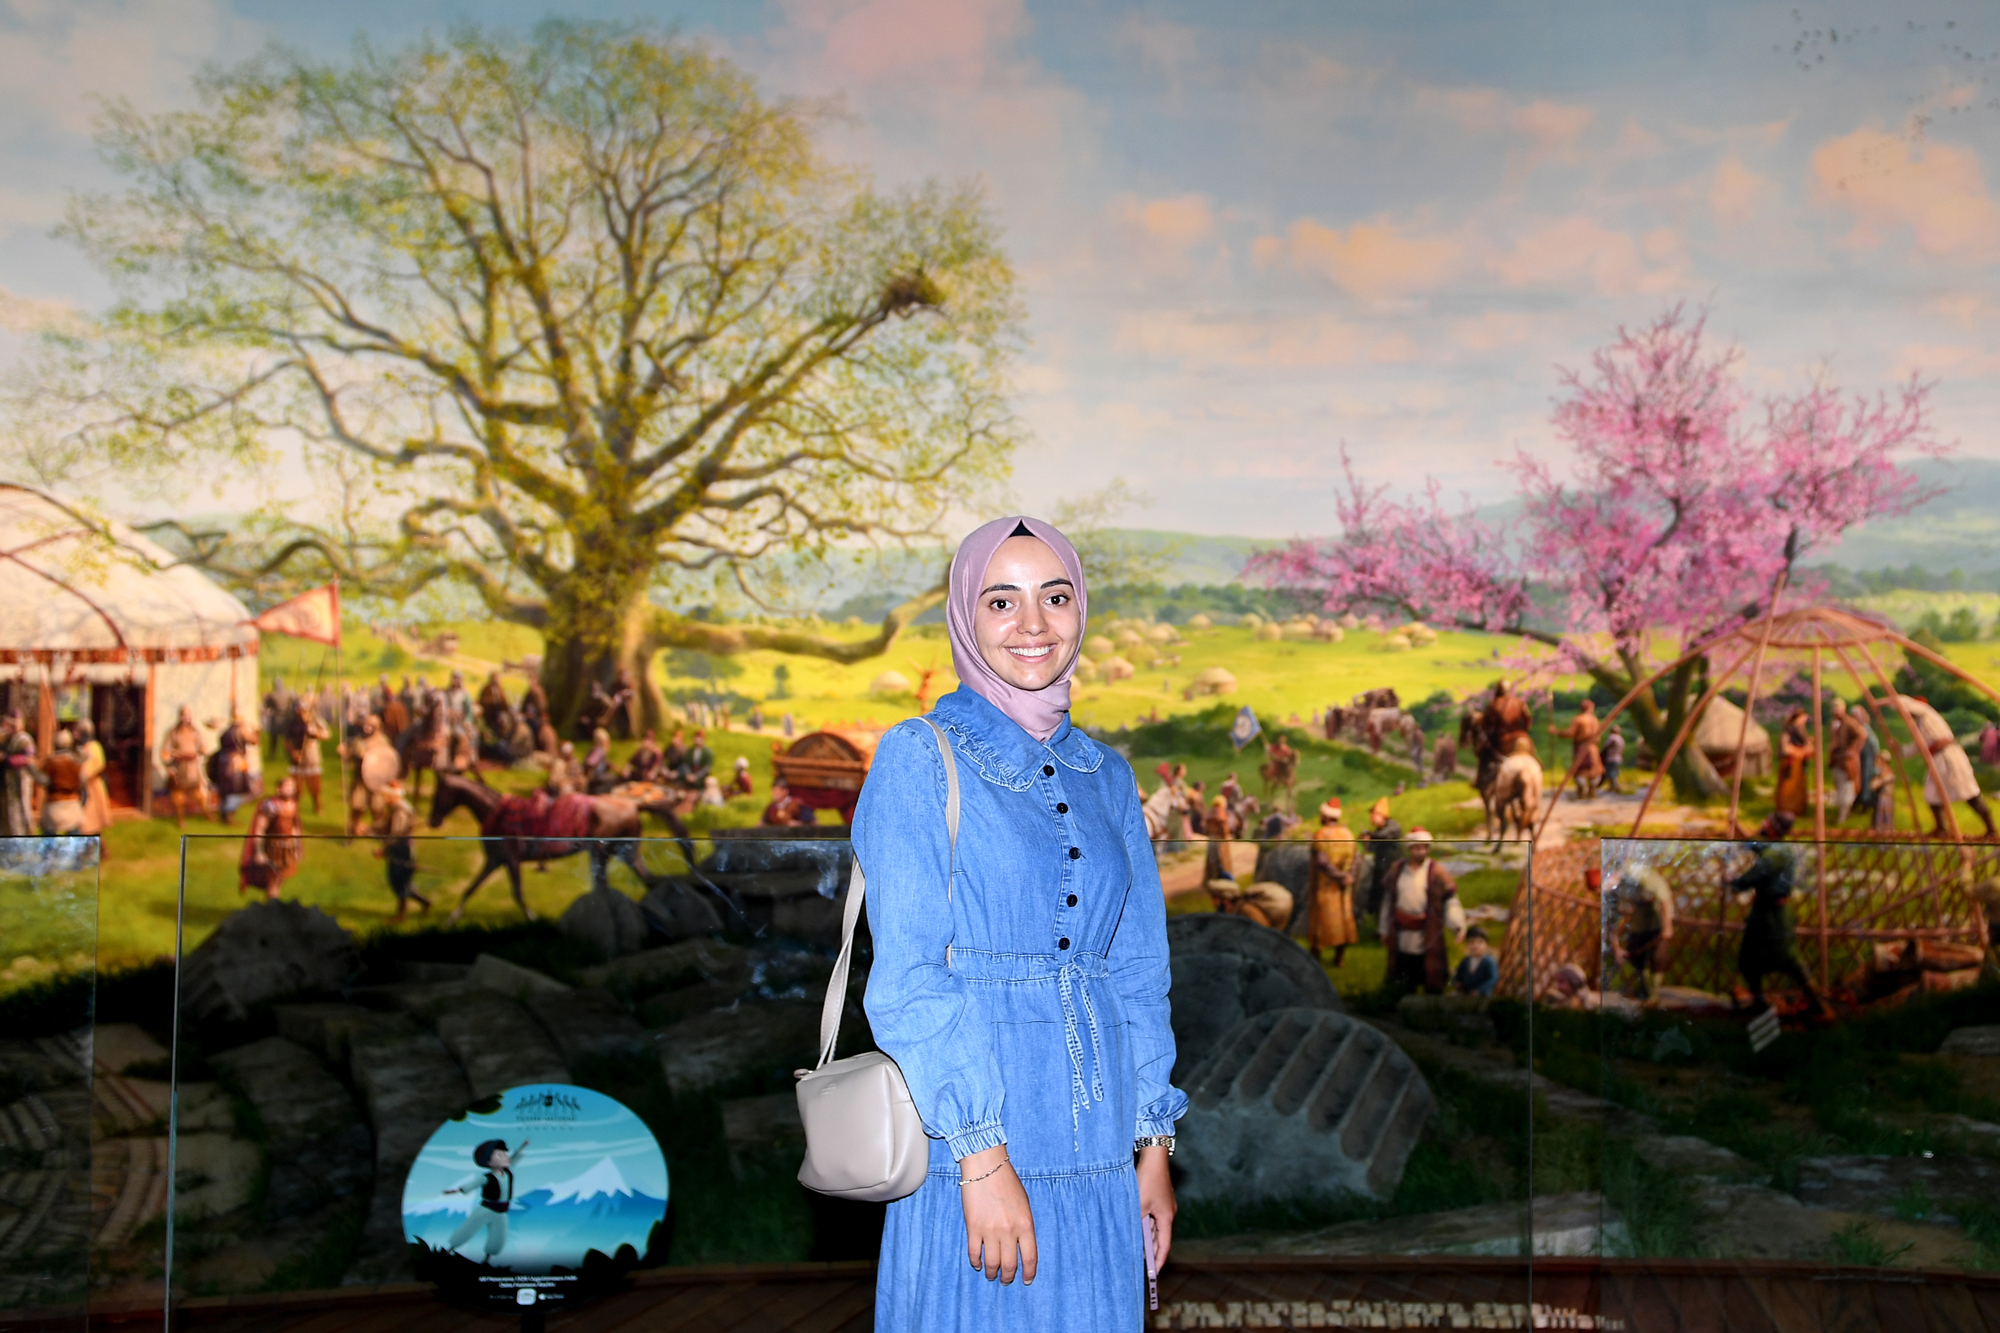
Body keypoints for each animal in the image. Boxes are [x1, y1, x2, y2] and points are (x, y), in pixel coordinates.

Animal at [429, 772, 660, 922]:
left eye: (437, 794)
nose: (433, 821)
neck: (496, 813)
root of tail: (633, 806)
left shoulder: (511, 861)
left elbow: (517, 893)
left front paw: (532, 918)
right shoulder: (494, 861)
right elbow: (471, 888)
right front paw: (452, 918)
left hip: (604, 853)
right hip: (622, 854)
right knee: (644, 880)